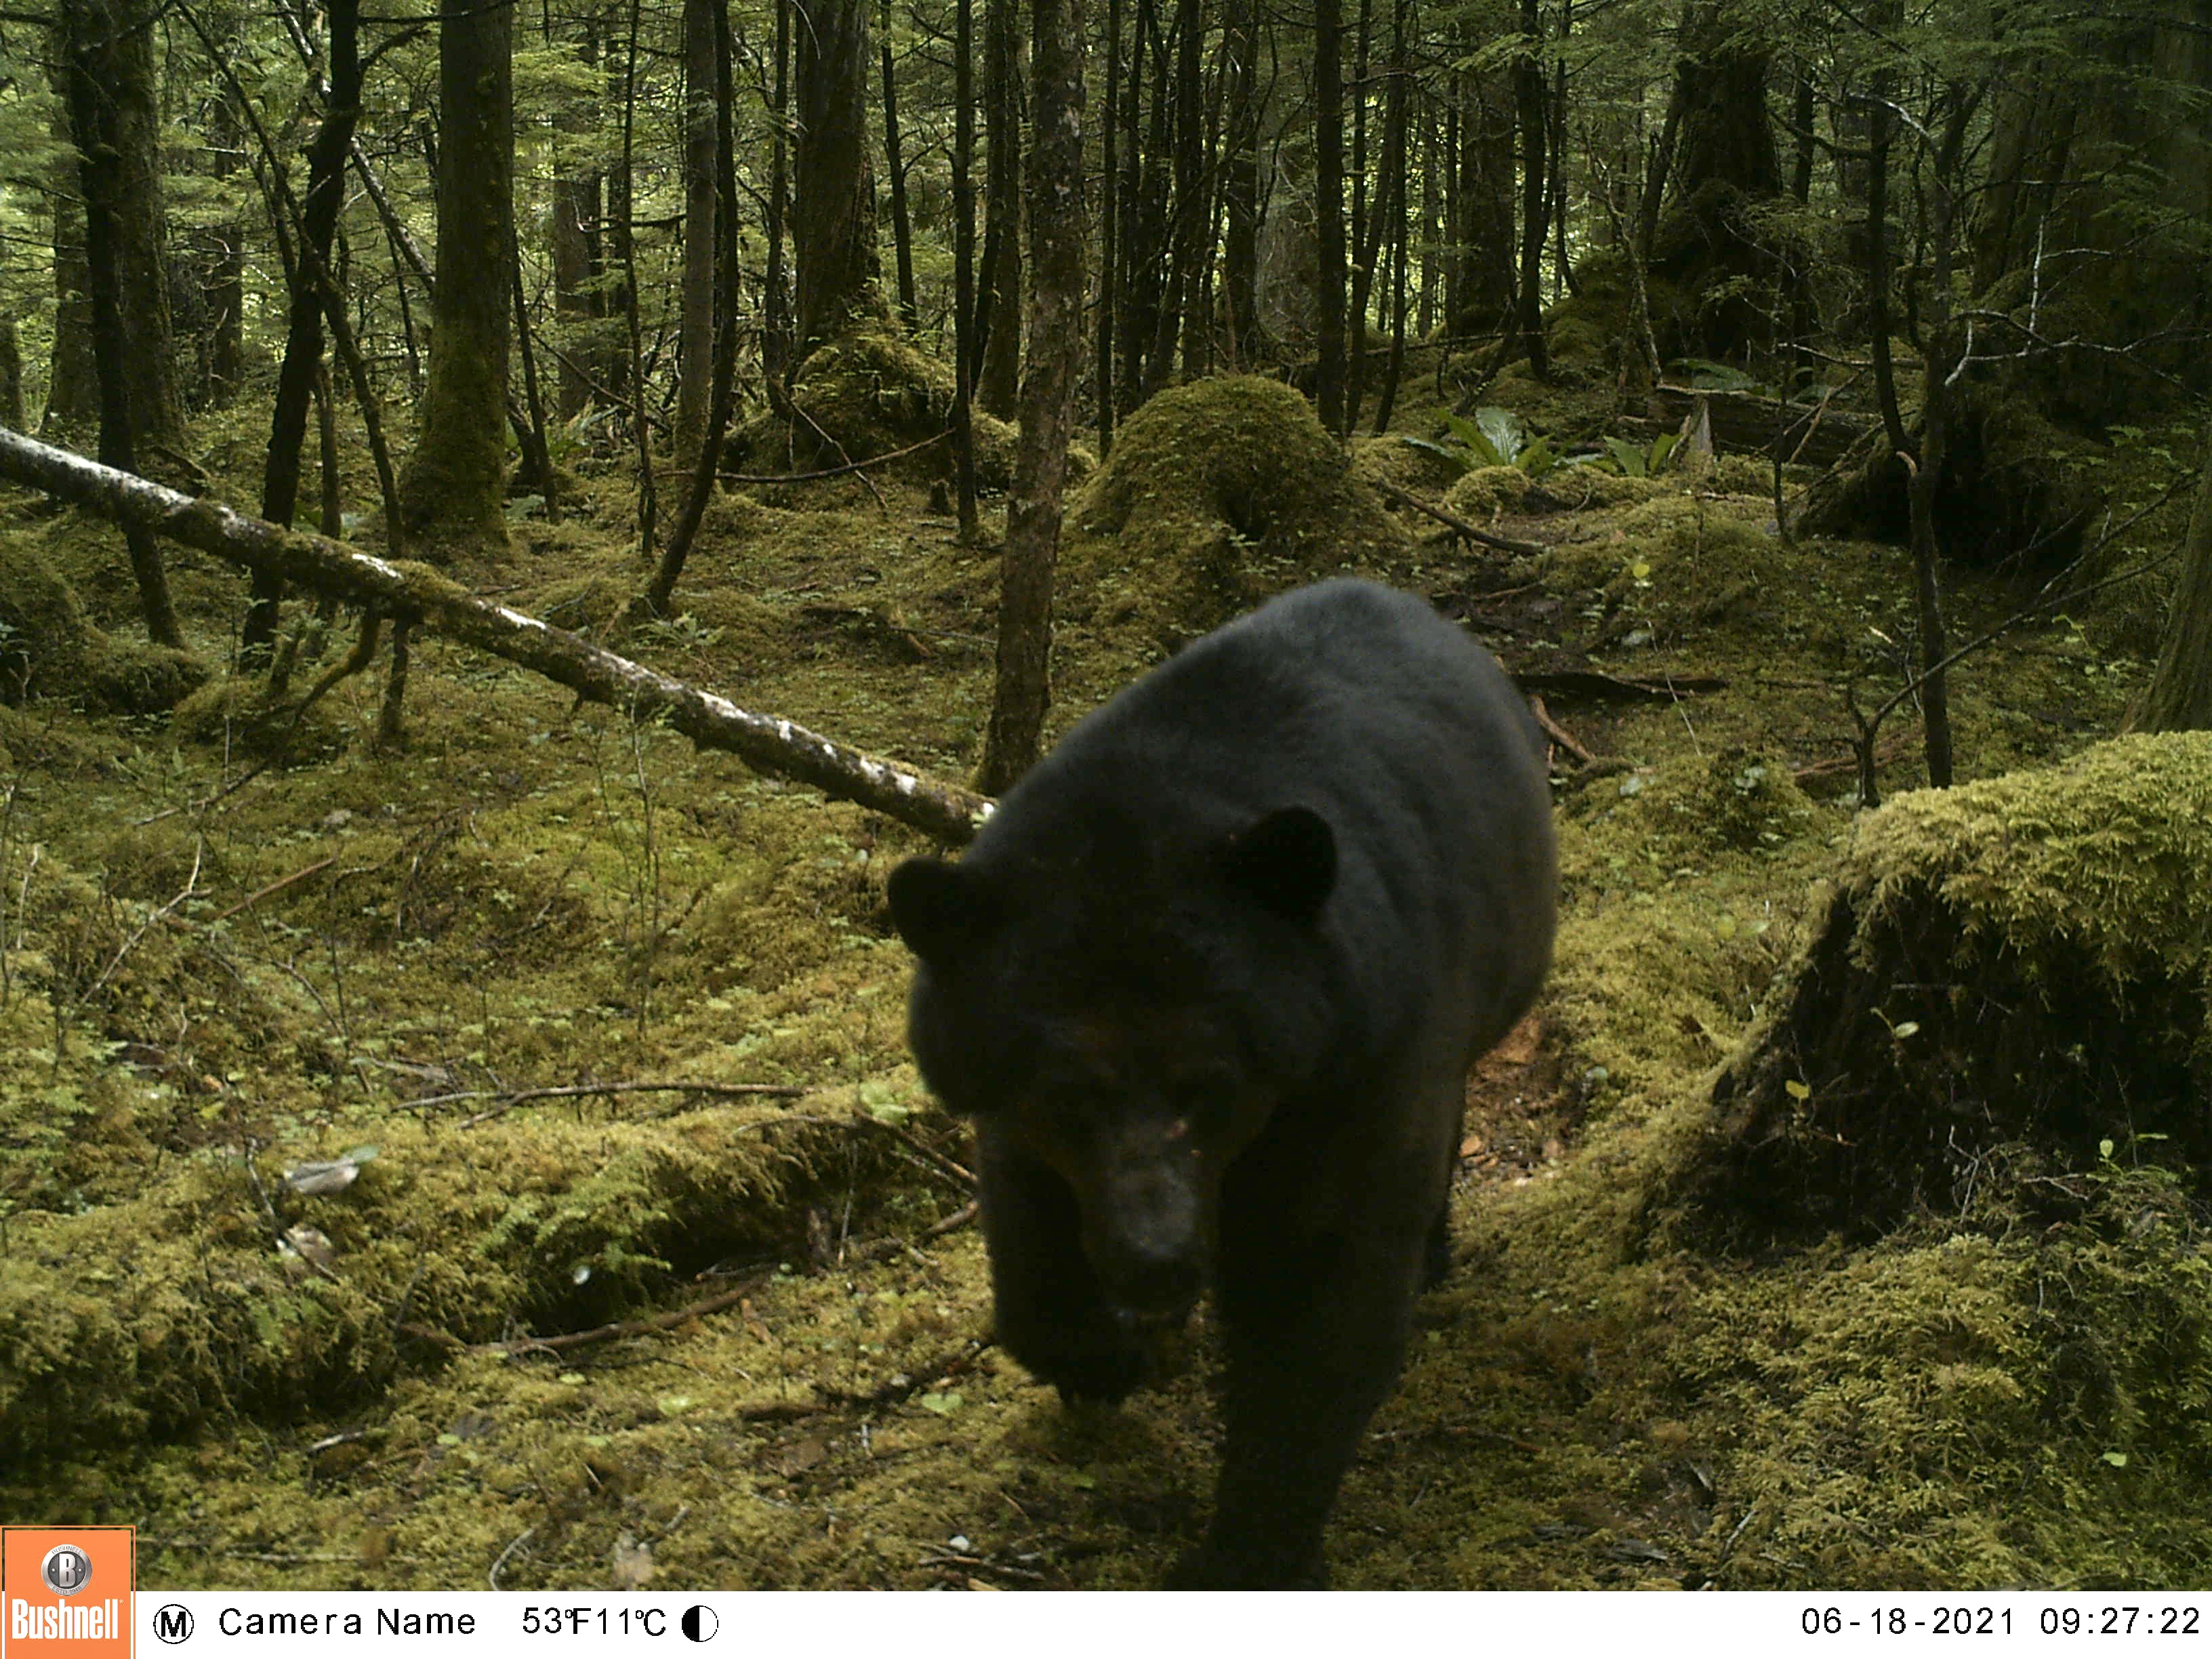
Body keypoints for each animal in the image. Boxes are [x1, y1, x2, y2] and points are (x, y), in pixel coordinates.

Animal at [886, 578, 1557, 1588]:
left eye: (1211, 1087)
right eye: (1068, 1096)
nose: (1154, 1259)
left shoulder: (1362, 1053)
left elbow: (1316, 1284)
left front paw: (1243, 1550)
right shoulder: (1006, 1089)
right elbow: (1028, 1211)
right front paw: (1094, 1356)